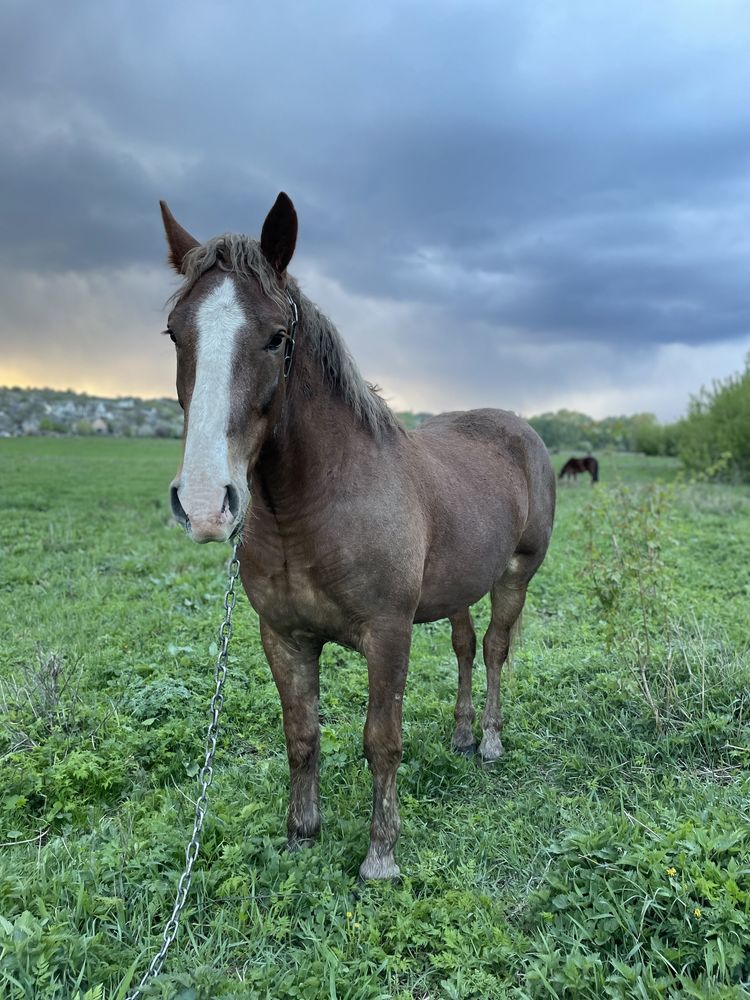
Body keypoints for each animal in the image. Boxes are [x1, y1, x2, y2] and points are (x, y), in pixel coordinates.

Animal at [159, 191, 560, 880]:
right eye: (175, 332)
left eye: (276, 336)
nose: (207, 503)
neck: (313, 508)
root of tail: (521, 430)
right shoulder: (284, 637)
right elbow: (302, 736)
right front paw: (301, 835)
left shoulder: (388, 635)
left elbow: (382, 740)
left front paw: (381, 855)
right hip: (458, 586)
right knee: (464, 647)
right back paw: (460, 735)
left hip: (515, 577)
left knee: (494, 651)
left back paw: (487, 741)